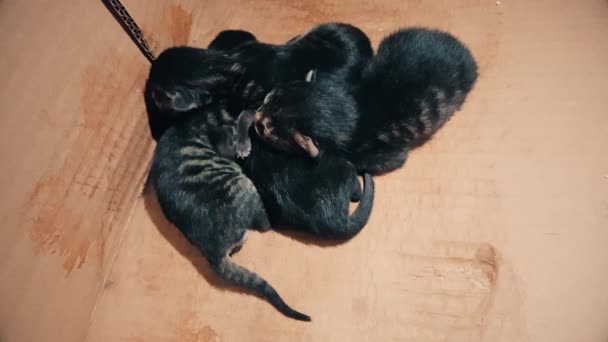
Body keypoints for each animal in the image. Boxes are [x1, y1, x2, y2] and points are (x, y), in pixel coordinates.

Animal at [147, 105, 308, 322]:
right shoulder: (226, 143)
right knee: (264, 225)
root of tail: (213, 252)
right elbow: (243, 121)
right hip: (244, 185)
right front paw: (247, 131)